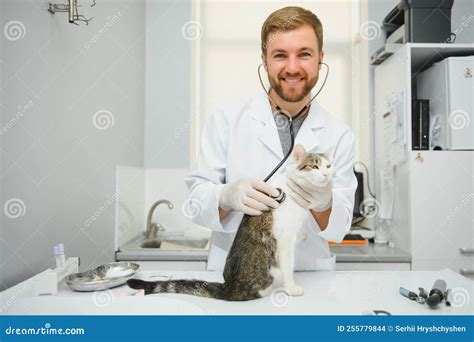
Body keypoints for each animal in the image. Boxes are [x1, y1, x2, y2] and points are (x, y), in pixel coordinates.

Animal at [126, 145, 334, 302]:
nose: (327, 175)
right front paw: (291, 287)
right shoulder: (283, 239)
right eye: (314, 167)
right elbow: (288, 265)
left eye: (329, 166)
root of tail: (229, 287)